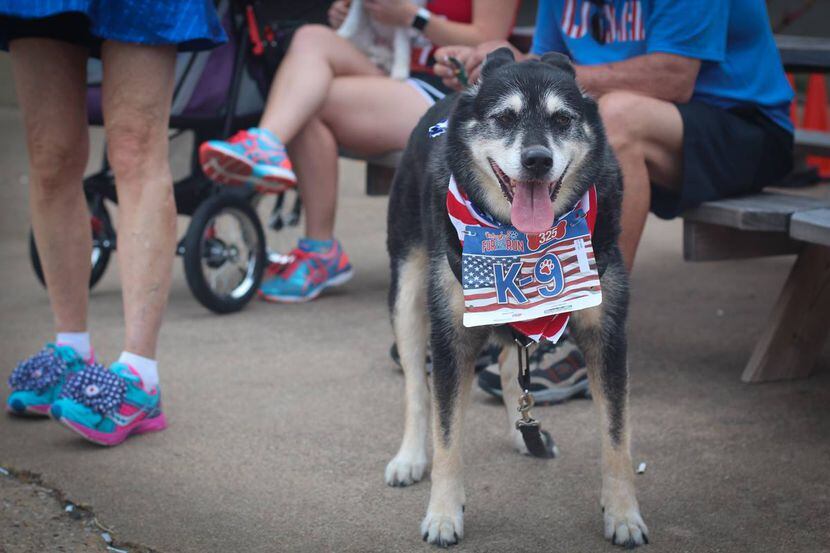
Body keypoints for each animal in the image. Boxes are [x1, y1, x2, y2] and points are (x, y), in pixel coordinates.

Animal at [386, 48, 652, 548]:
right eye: (505, 118)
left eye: (562, 119)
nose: (536, 160)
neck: (520, 240)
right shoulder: (451, 338)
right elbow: (446, 432)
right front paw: (443, 514)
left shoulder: (608, 336)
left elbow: (617, 436)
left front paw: (624, 514)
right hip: (407, 291)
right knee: (415, 386)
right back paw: (410, 456)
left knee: (513, 365)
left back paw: (522, 430)